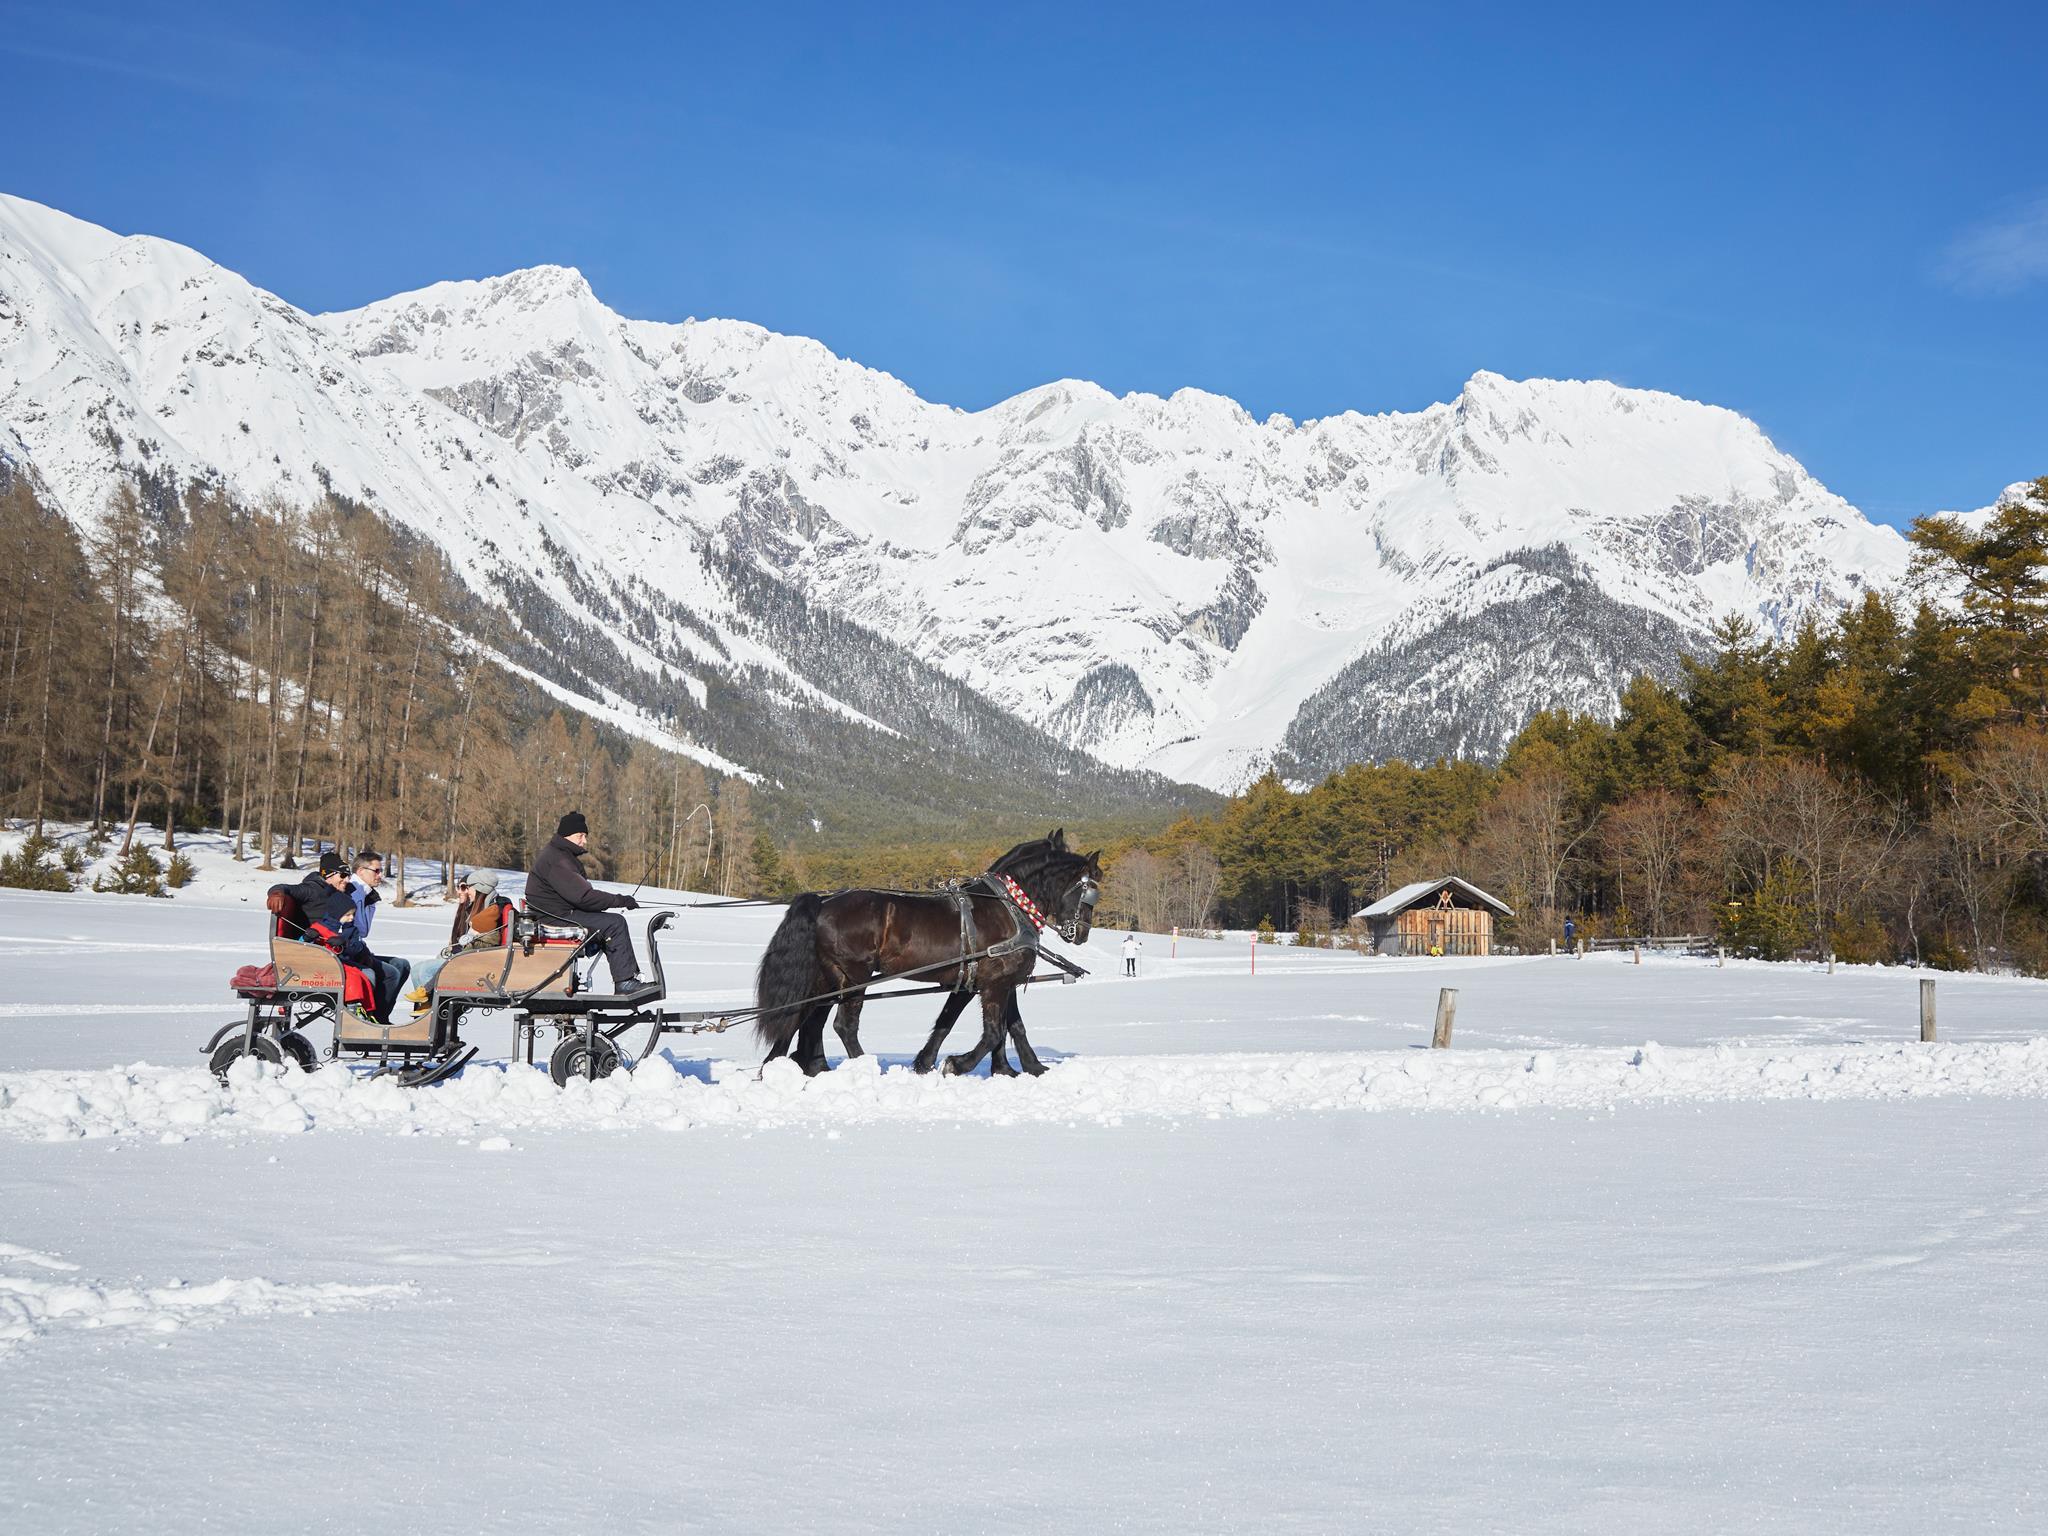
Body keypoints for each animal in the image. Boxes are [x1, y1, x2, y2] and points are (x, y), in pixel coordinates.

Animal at [757, 831, 1105, 1081]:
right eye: (1088, 888)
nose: (1082, 933)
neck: (1008, 907)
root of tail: (823, 902)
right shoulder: (994, 983)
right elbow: (994, 1030)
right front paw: (958, 1064)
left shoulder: (981, 983)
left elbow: (995, 1025)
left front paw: (1020, 1069)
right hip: (854, 976)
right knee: (842, 1025)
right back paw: (864, 1069)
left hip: (828, 978)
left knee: (807, 1017)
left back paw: (805, 1066)